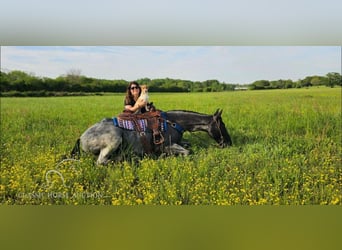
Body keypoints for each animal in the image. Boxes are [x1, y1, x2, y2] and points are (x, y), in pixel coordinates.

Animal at [72, 109, 232, 164]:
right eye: (222, 125)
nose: (228, 143)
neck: (174, 122)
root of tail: (81, 138)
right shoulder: (167, 146)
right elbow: (187, 151)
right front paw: (163, 156)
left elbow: (188, 145)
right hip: (114, 139)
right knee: (102, 161)